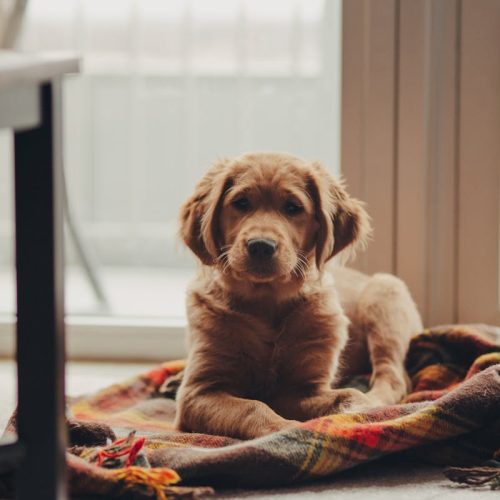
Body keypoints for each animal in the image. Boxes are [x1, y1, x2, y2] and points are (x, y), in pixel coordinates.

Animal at [176, 151, 422, 438]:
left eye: (292, 207)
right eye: (241, 203)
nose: (261, 246)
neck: (267, 302)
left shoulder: (303, 388)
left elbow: (347, 395)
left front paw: (362, 410)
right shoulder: (198, 391)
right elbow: (252, 406)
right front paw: (285, 429)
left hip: (385, 295)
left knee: (394, 375)